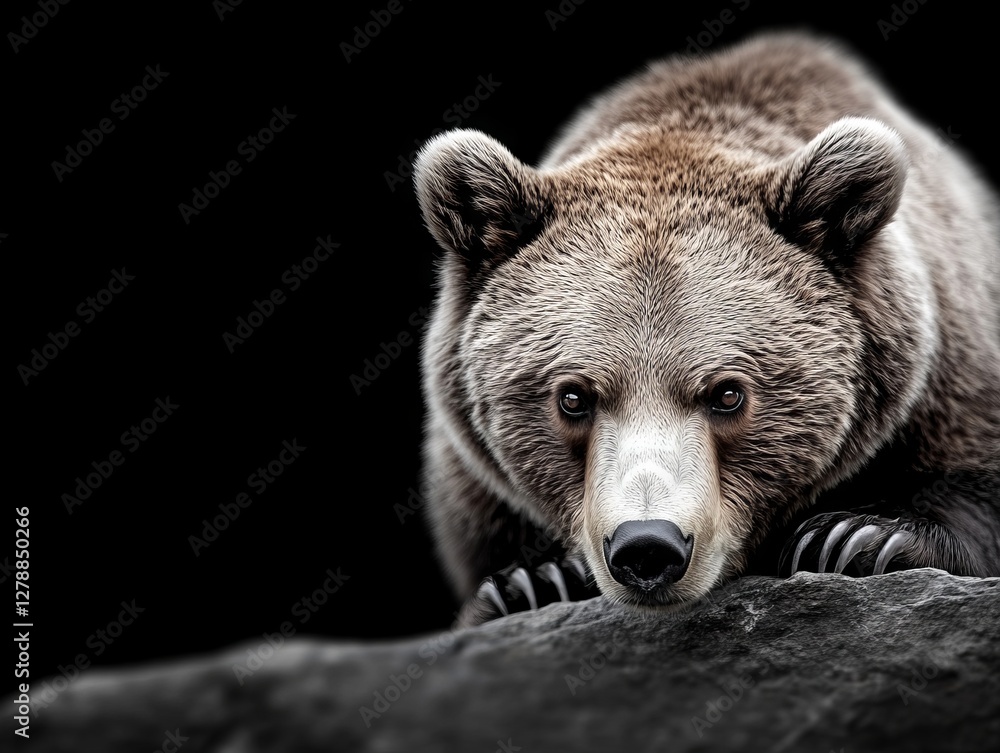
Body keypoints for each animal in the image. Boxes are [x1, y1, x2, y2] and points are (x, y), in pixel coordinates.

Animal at [412, 31, 1000, 626]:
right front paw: (534, 582)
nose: (648, 546)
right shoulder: (474, 482)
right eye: (572, 397)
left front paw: (856, 538)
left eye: (728, 393)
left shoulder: (951, 364)